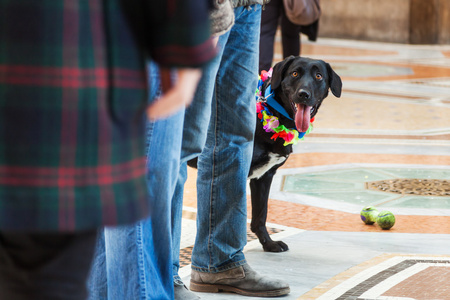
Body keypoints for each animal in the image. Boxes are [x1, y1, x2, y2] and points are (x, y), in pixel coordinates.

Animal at [248, 55, 342, 251]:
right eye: (295, 73)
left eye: (319, 76)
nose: (304, 94)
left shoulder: (263, 177)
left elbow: (260, 215)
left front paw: (268, 243)